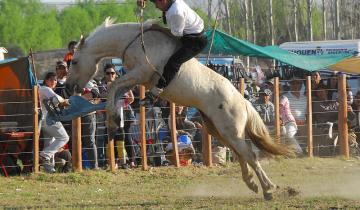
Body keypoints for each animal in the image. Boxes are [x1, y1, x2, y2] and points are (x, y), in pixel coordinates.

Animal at [66, 18, 294, 200]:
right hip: (218, 130)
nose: (68, 87)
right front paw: (114, 123)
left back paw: (268, 189)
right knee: (240, 154)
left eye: (74, 61)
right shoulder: (136, 78)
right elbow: (116, 92)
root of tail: (243, 101)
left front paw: (114, 121)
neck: (136, 41)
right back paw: (252, 184)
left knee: (249, 155)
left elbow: (113, 86)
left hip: (231, 131)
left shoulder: (140, 73)